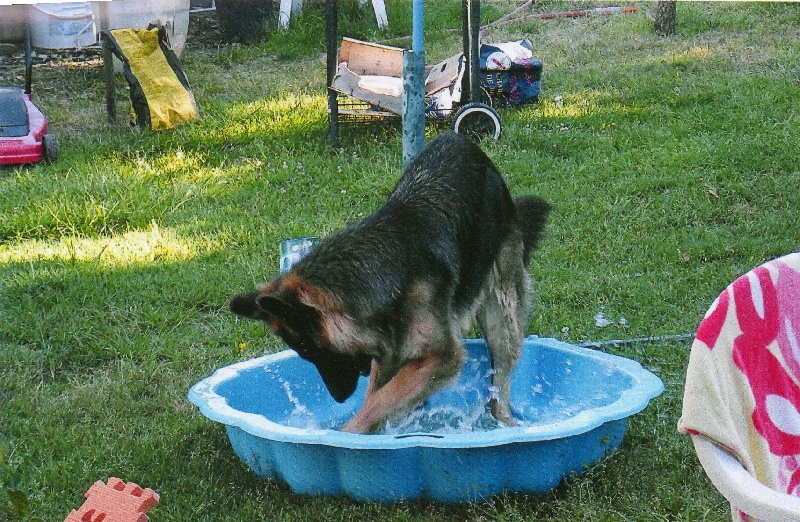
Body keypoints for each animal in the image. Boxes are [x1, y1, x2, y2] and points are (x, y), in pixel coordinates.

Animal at [228, 130, 548, 430]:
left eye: (309, 351)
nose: (339, 398)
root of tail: (460, 140)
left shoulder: (440, 357)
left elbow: (377, 404)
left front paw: (347, 435)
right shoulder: (388, 354)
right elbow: (377, 399)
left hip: (501, 314)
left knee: (500, 382)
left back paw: (505, 424)